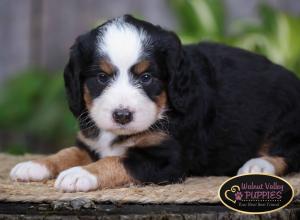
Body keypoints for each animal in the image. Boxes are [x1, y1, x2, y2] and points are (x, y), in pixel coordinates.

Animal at [9, 15, 300, 192]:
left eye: (146, 77)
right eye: (101, 77)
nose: (122, 115)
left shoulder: (165, 158)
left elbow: (116, 161)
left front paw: (79, 174)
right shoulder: (89, 143)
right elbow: (67, 153)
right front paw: (36, 165)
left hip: (286, 119)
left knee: (288, 152)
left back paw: (257, 165)